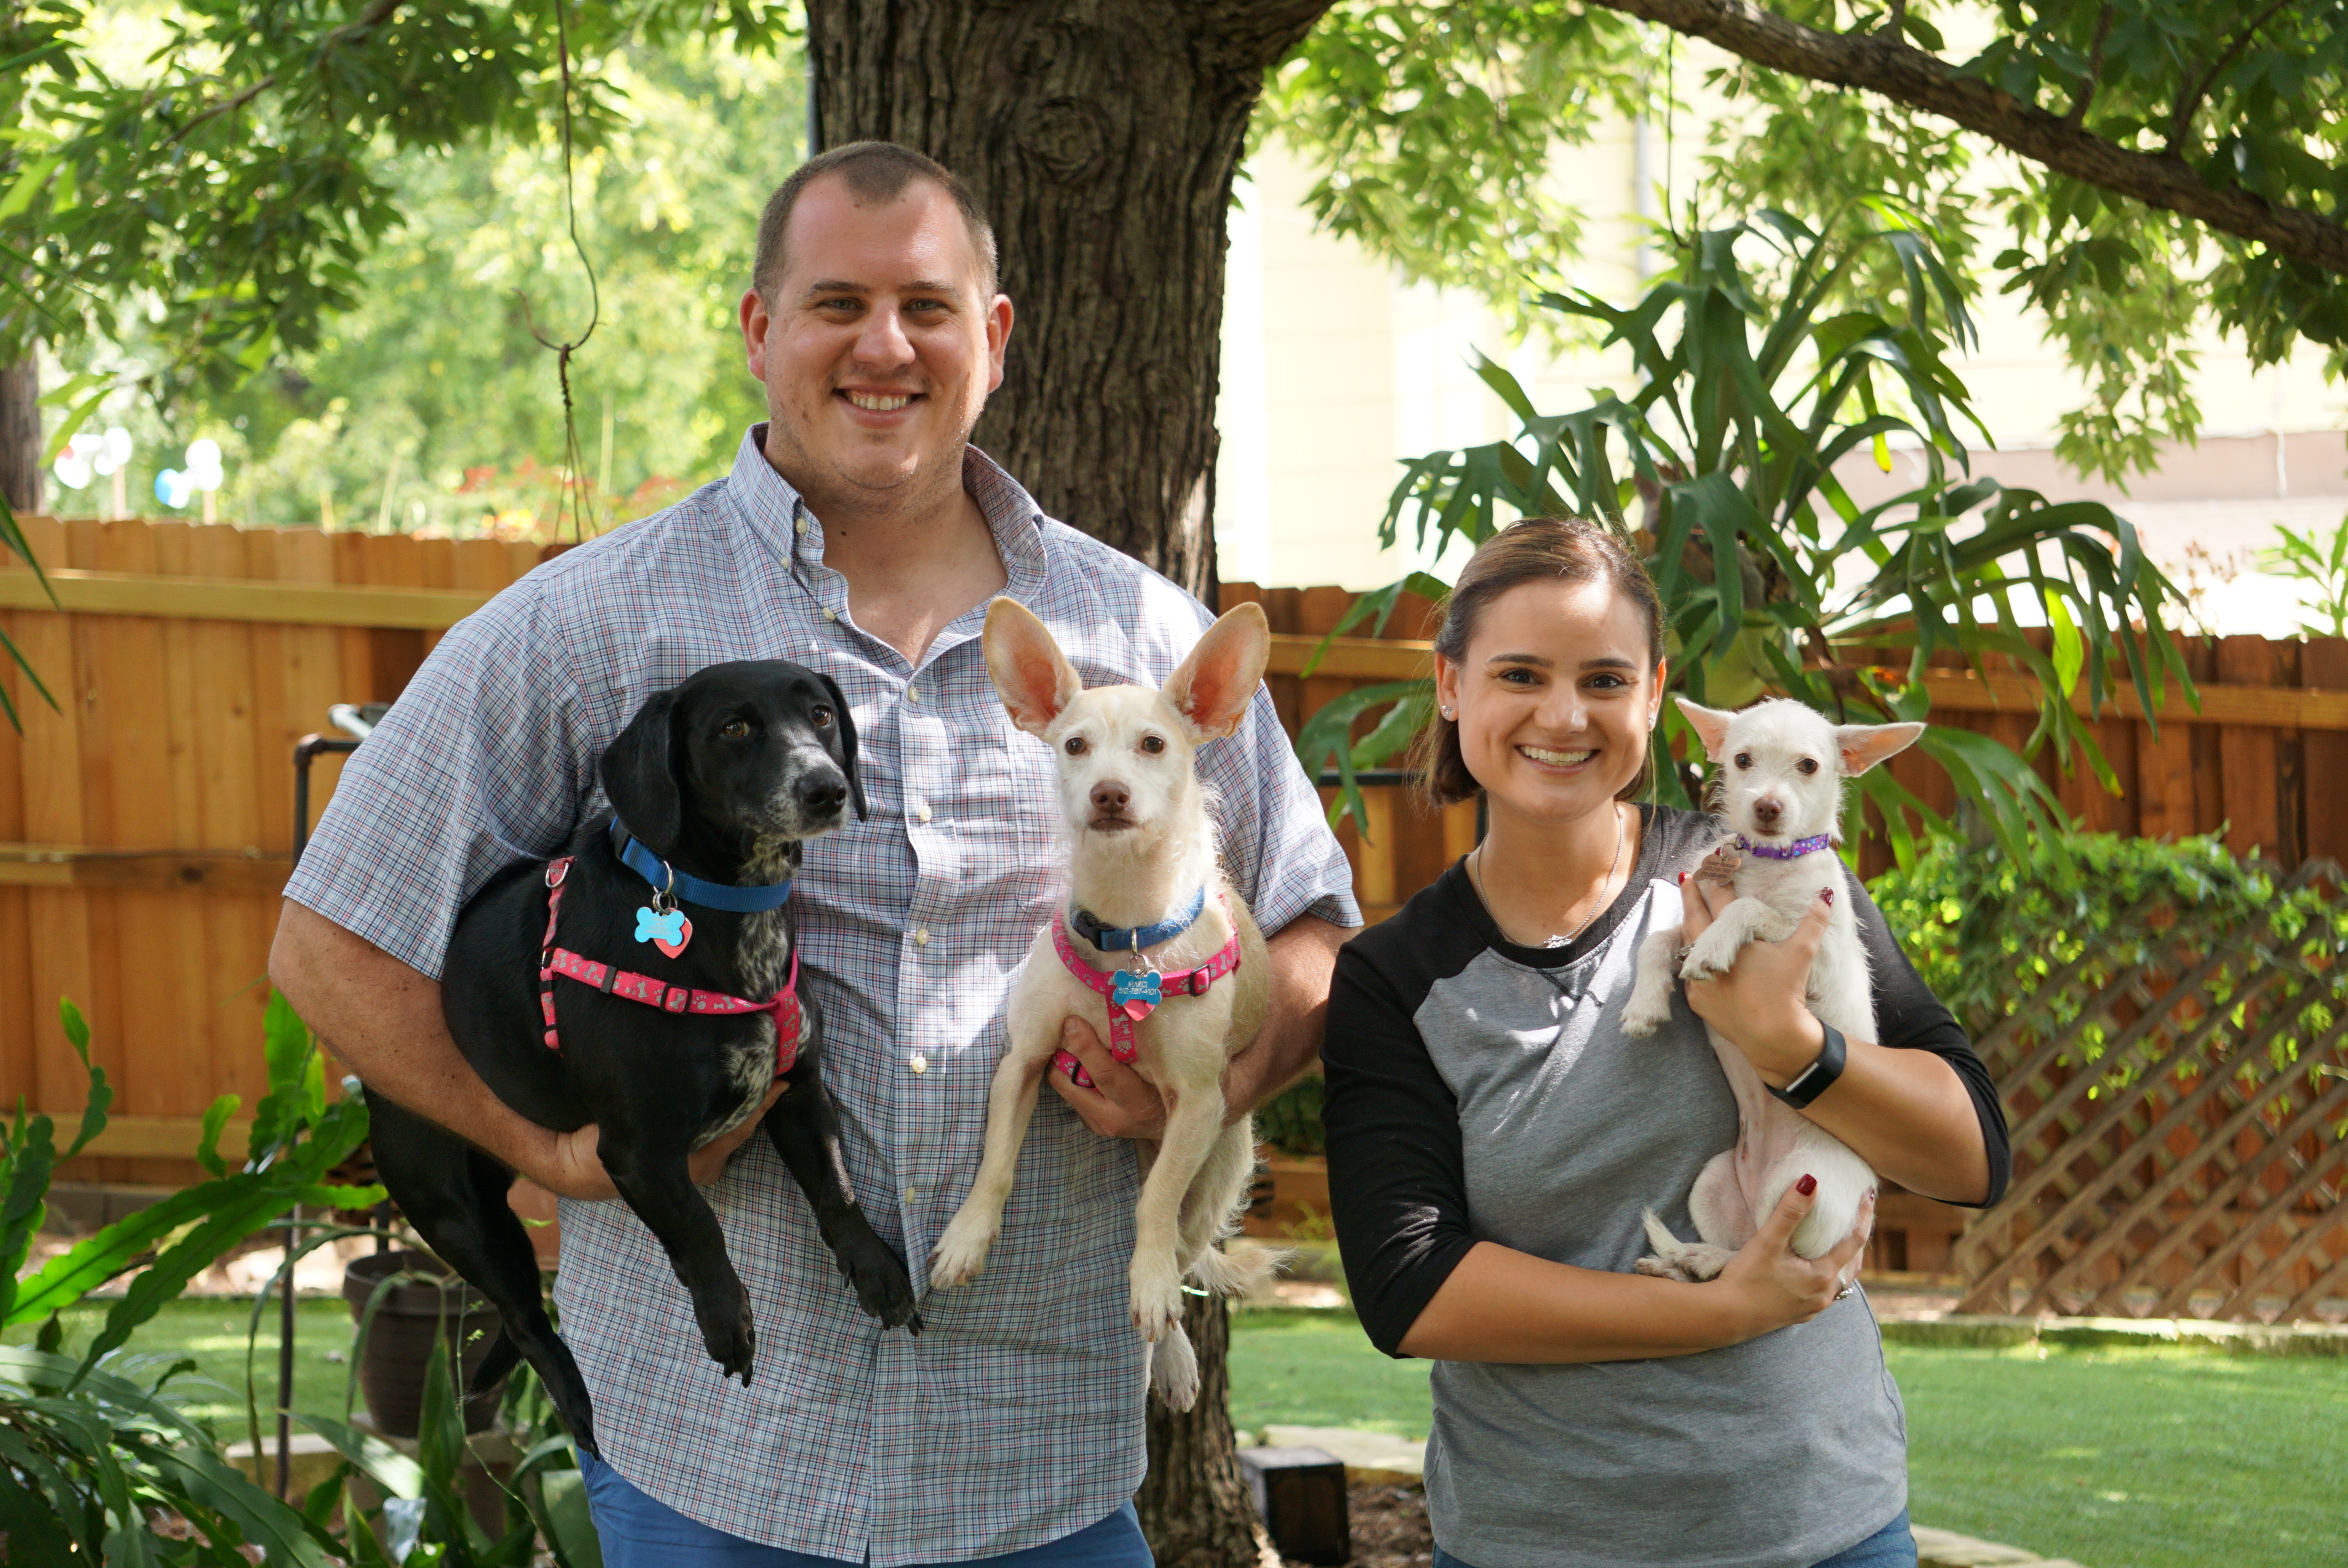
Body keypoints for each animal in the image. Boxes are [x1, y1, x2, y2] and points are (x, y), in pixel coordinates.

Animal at [363, 660, 920, 1458]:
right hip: (460, 1216)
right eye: (734, 727)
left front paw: (874, 1267)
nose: (826, 788)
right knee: (525, 1321)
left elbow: (837, 1188)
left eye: (820, 715)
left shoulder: (800, 1094)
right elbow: (697, 1223)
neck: (727, 908)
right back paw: (577, 1405)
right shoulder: (637, 1153)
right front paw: (725, 1315)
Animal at [927, 598, 1280, 1410]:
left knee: (1179, 1245)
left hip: (1217, 1166)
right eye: (1075, 746)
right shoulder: (1023, 1063)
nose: (1108, 793)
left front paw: (1147, 1289)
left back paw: (1171, 1347)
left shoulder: (1197, 1104)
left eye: (1154, 745)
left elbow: (1152, 1211)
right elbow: (996, 1163)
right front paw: (967, 1236)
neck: (1128, 937)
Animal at [1619, 696, 1922, 1280]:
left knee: (1770, 1254)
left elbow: (1745, 909)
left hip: (1801, 1182)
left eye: (1808, 766)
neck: (1766, 862)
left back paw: (1700, 1259)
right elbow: (1655, 942)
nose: (1767, 807)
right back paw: (1685, 1262)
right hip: (1711, 1181)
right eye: (1742, 760)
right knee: (1743, 1254)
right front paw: (1643, 1007)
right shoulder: (1687, 921)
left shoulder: (1816, 950)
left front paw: (1715, 948)